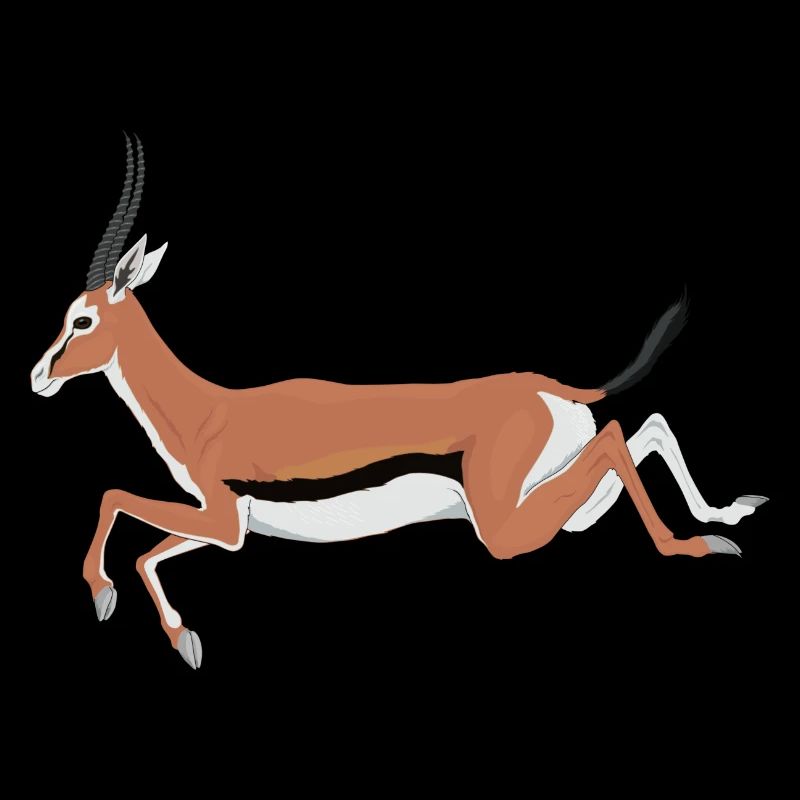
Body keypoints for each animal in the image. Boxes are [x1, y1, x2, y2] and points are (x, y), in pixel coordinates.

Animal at [31, 136, 768, 669]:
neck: (209, 414)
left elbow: (115, 504)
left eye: (83, 320)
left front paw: (120, 606)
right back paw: (729, 514)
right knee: (644, 429)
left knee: (620, 436)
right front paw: (175, 635)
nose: (38, 377)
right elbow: (144, 545)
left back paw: (701, 546)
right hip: (567, 510)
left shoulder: (221, 518)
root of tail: (555, 389)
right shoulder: (229, 526)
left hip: (506, 530)